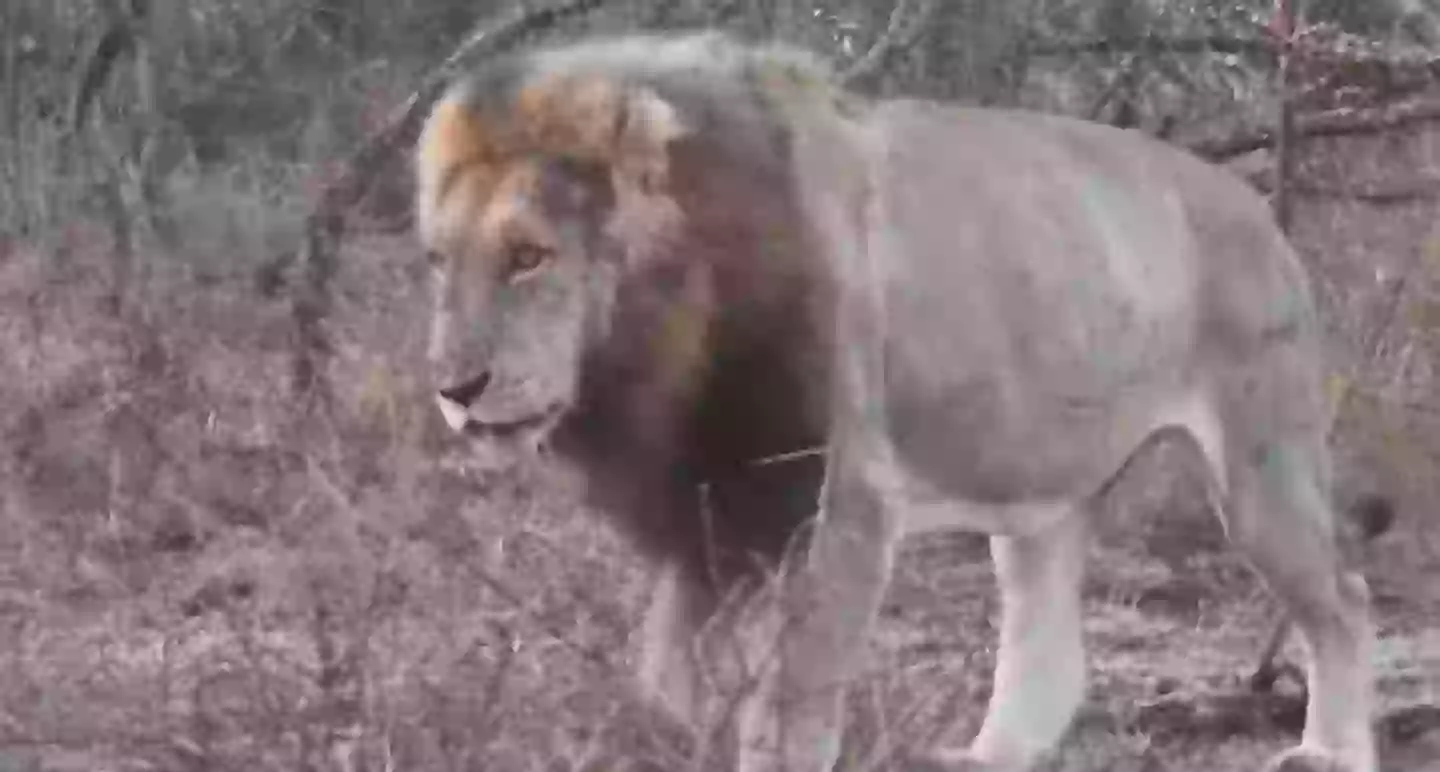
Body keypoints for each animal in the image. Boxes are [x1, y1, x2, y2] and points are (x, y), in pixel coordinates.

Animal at [414, 31, 1380, 772]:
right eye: (439, 260)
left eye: (529, 256)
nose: (455, 390)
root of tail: (1257, 207)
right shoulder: (713, 514)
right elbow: (675, 687)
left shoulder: (840, 510)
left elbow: (789, 713)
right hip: (1041, 493)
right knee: (1048, 648)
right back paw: (984, 758)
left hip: (1260, 468)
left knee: (1344, 597)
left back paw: (1329, 751)